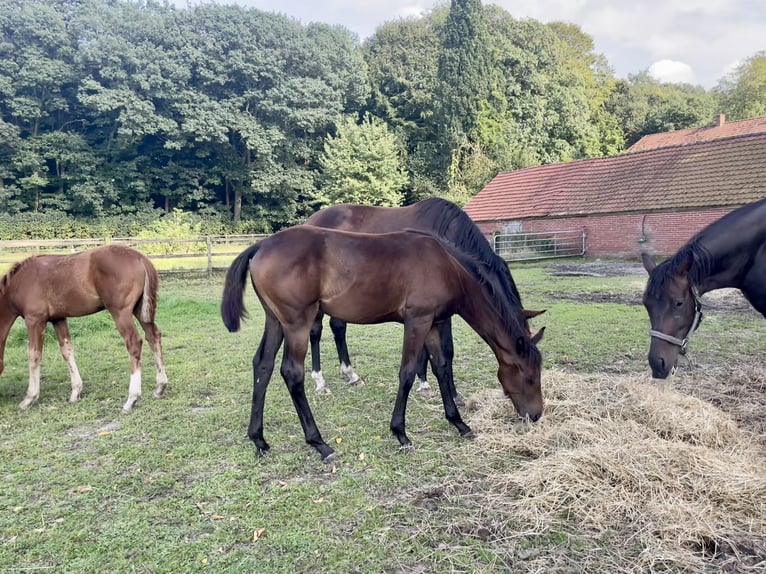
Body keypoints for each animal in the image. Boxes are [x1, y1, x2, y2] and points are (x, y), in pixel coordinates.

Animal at [0, 245, 169, 412]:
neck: (19, 283)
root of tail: (141, 258)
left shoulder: (34, 320)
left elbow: (33, 355)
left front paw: (29, 398)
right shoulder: (58, 319)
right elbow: (67, 351)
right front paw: (75, 392)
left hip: (120, 312)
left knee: (134, 342)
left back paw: (131, 399)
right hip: (140, 310)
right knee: (153, 336)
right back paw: (160, 387)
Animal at [222, 225, 544, 464]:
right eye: (530, 377)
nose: (536, 415)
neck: (448, 267)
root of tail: (260, 246)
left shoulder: (433, 323)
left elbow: (441, 367)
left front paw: (459, 423)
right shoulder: (417, 320)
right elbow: (408, 373)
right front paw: (401, 433)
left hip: (275, 321)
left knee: (262, 365)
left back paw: (259, 440)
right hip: (297, 323)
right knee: (291, 373)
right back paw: (320, 443)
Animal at [304, 196, 544, 398]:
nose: (510, 395)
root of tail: (311, 220)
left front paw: (424, 382)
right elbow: (447, 350)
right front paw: (451, 392)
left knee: (338, 327)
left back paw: (351, 374)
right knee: (315, 332)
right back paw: (320, 381)